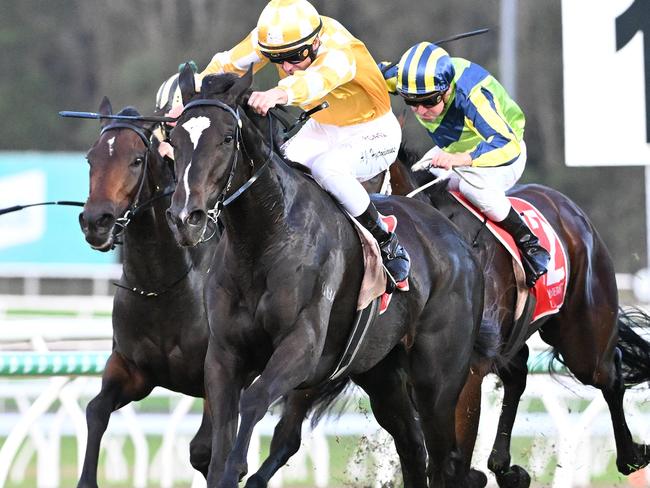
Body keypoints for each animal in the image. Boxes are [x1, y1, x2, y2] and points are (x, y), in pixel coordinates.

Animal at [165, 66, 494, 488]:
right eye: (174, 139)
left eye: (225, 138)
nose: (185, 218)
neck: (264, 239)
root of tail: (460, 243)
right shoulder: (224, 354)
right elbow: (221, 433)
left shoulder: (302, 346)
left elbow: (253, 400)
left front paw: (239, 466)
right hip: (382, 373)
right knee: (411, 448)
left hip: (438, 379)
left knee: (444, 460)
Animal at [392, 146, 650, 488]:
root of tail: (566, 205)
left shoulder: (468, 371)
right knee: (518, 374)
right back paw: (505, 468)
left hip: (583, 339)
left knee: (609, 373)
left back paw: (631, 456)